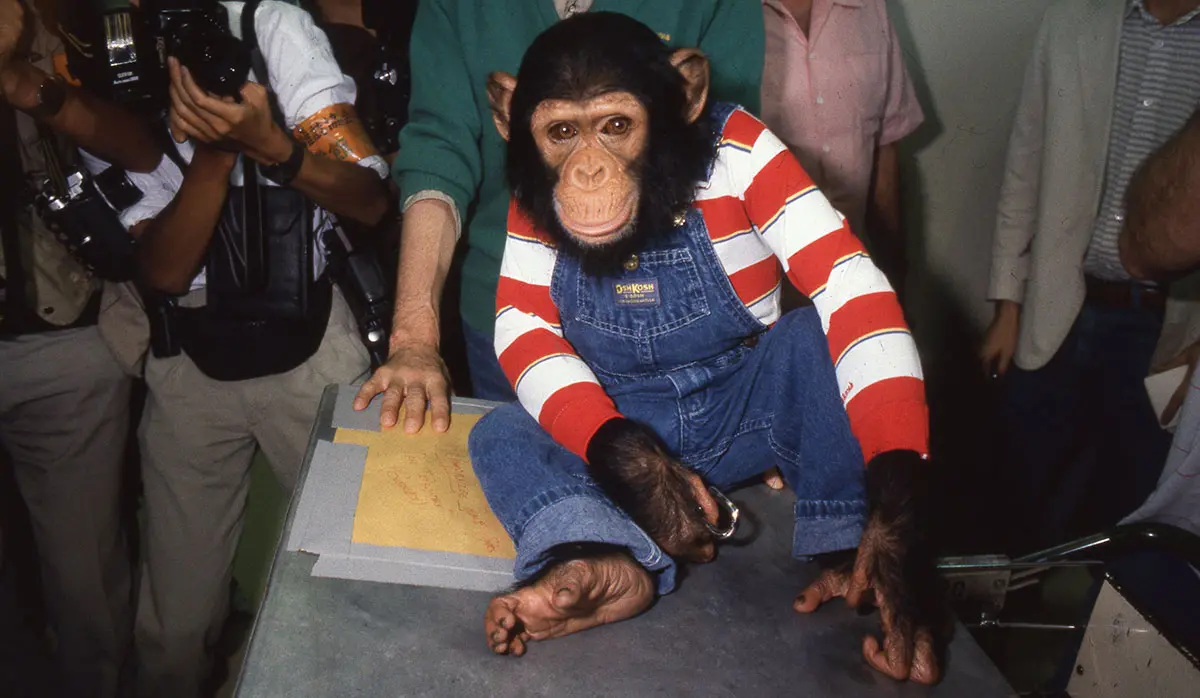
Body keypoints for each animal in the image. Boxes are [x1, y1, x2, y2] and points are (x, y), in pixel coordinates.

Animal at [468, 11, 942, 683]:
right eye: (561, 133)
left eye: (616, 127)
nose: (588, 172)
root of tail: (703, 457)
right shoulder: (525, 203)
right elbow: (525, 322)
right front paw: (652, 486)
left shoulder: (757, 144)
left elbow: (847, 281)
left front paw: (894, 562)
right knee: (502, 433)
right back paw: (590, 577)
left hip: (738, 443)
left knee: (817, 343)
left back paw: (845, 564)